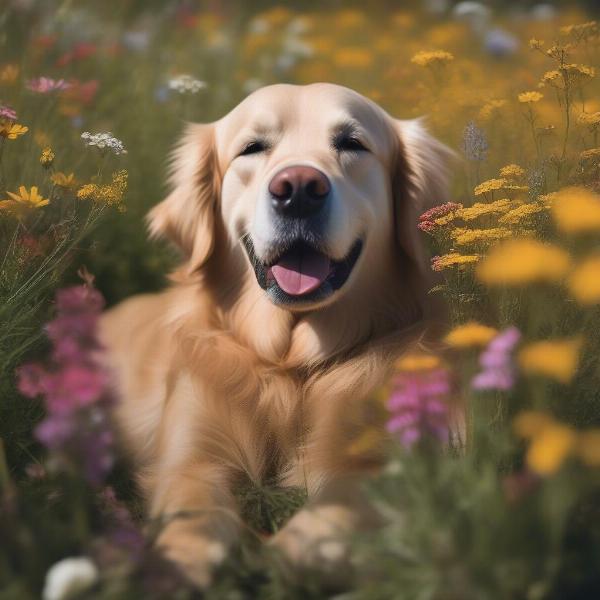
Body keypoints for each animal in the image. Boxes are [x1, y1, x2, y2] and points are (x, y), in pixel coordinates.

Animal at [101, 82, 452, 584]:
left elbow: (334, 511)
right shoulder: (193, 458)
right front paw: (174, 570)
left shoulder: (383, 465)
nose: (299, 188)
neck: (291, 366)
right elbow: (195, 515)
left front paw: (277, 555)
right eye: (252, 148)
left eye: (352, 143)